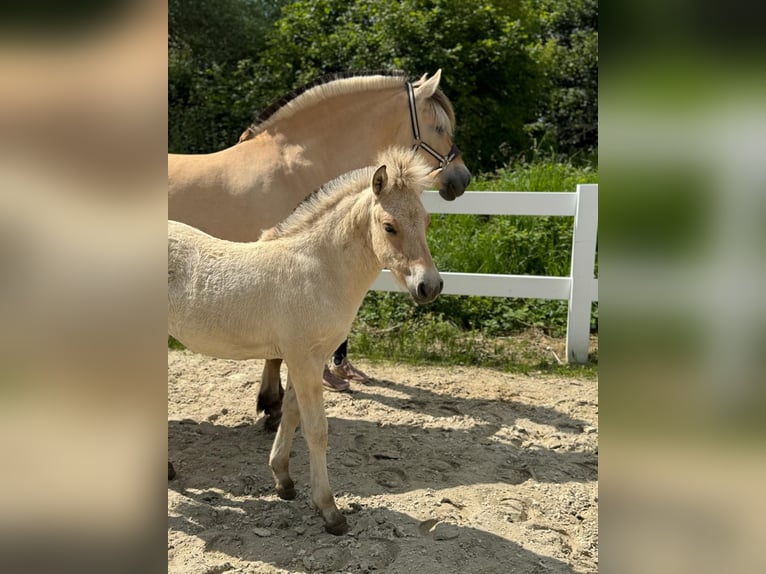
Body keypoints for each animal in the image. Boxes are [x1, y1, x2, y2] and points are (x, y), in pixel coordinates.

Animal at [168, 147, 444, 536]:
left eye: (427, 221)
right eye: (389, 226)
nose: (429, 286)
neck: (318, 269)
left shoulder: (307, 358)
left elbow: (291, 414)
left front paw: (283, 481)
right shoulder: (302, 358)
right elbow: (316, 430)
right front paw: (330, 511)